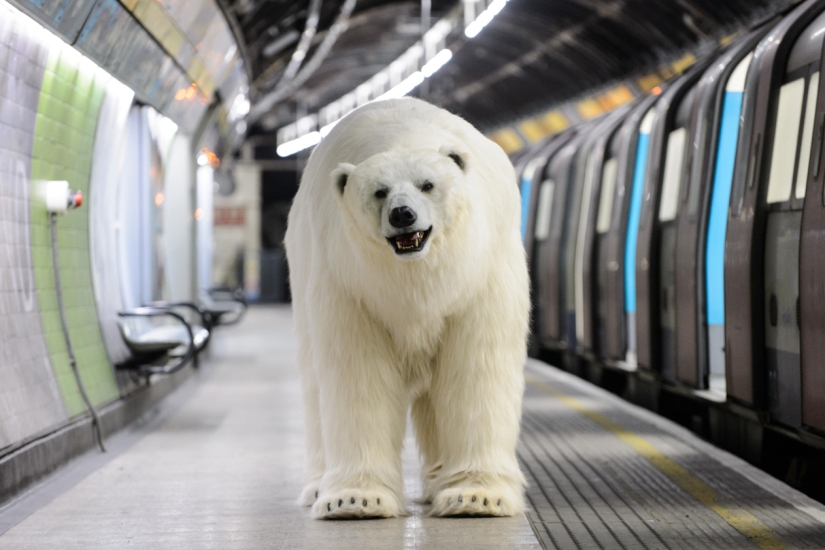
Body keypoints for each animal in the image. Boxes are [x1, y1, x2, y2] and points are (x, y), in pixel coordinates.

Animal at [284, 97, 529, 519]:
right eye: (379, 192)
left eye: (427, 185)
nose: (403, 214)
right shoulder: (350, 282)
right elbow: (357, 374)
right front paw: (354, 499)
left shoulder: (481, 274)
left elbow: (478, 366)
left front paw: (477, 496)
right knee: (314, 384)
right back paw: (318, 486)